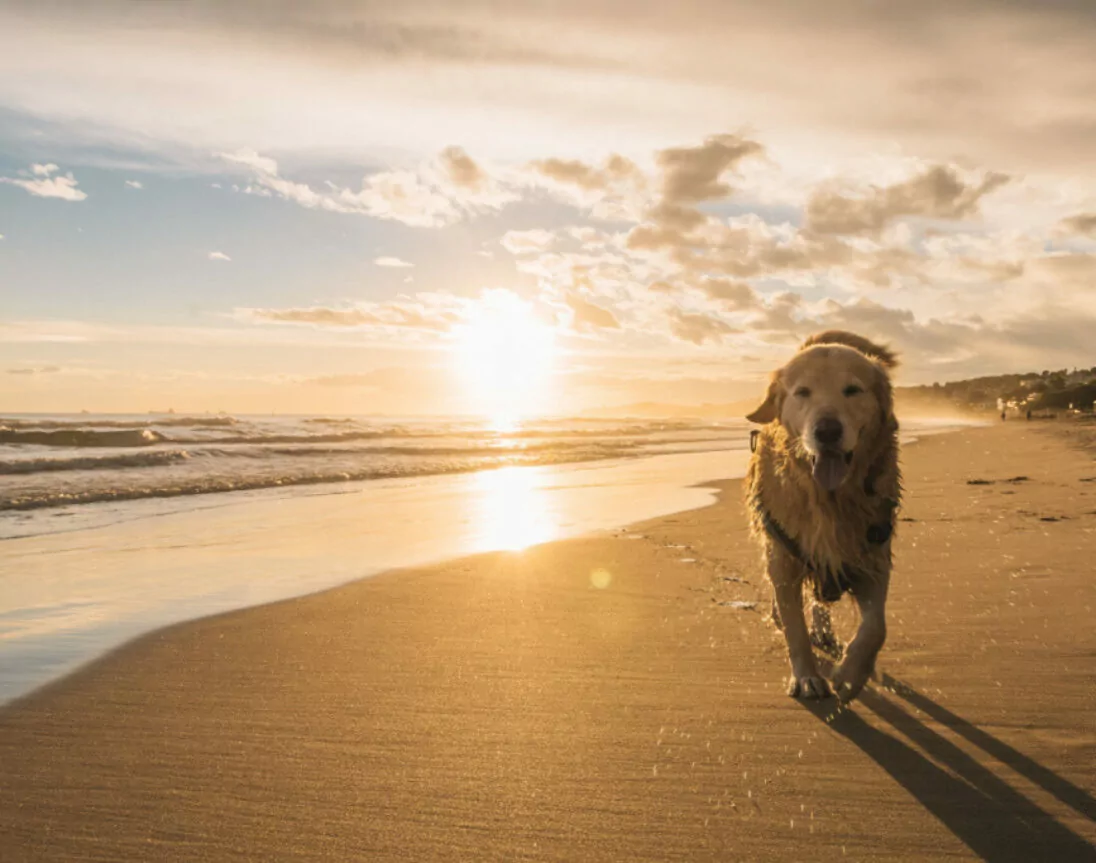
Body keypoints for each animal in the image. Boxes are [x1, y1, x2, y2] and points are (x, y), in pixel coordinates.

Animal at [745, 331, 898, 701]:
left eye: (853, 389)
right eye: (802, 392)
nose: (827, 431)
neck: (829, 498)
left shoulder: (873, 555)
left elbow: (876, 627)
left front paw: (851, 675)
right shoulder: (784, 558)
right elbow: (794, 629)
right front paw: (806, 677)